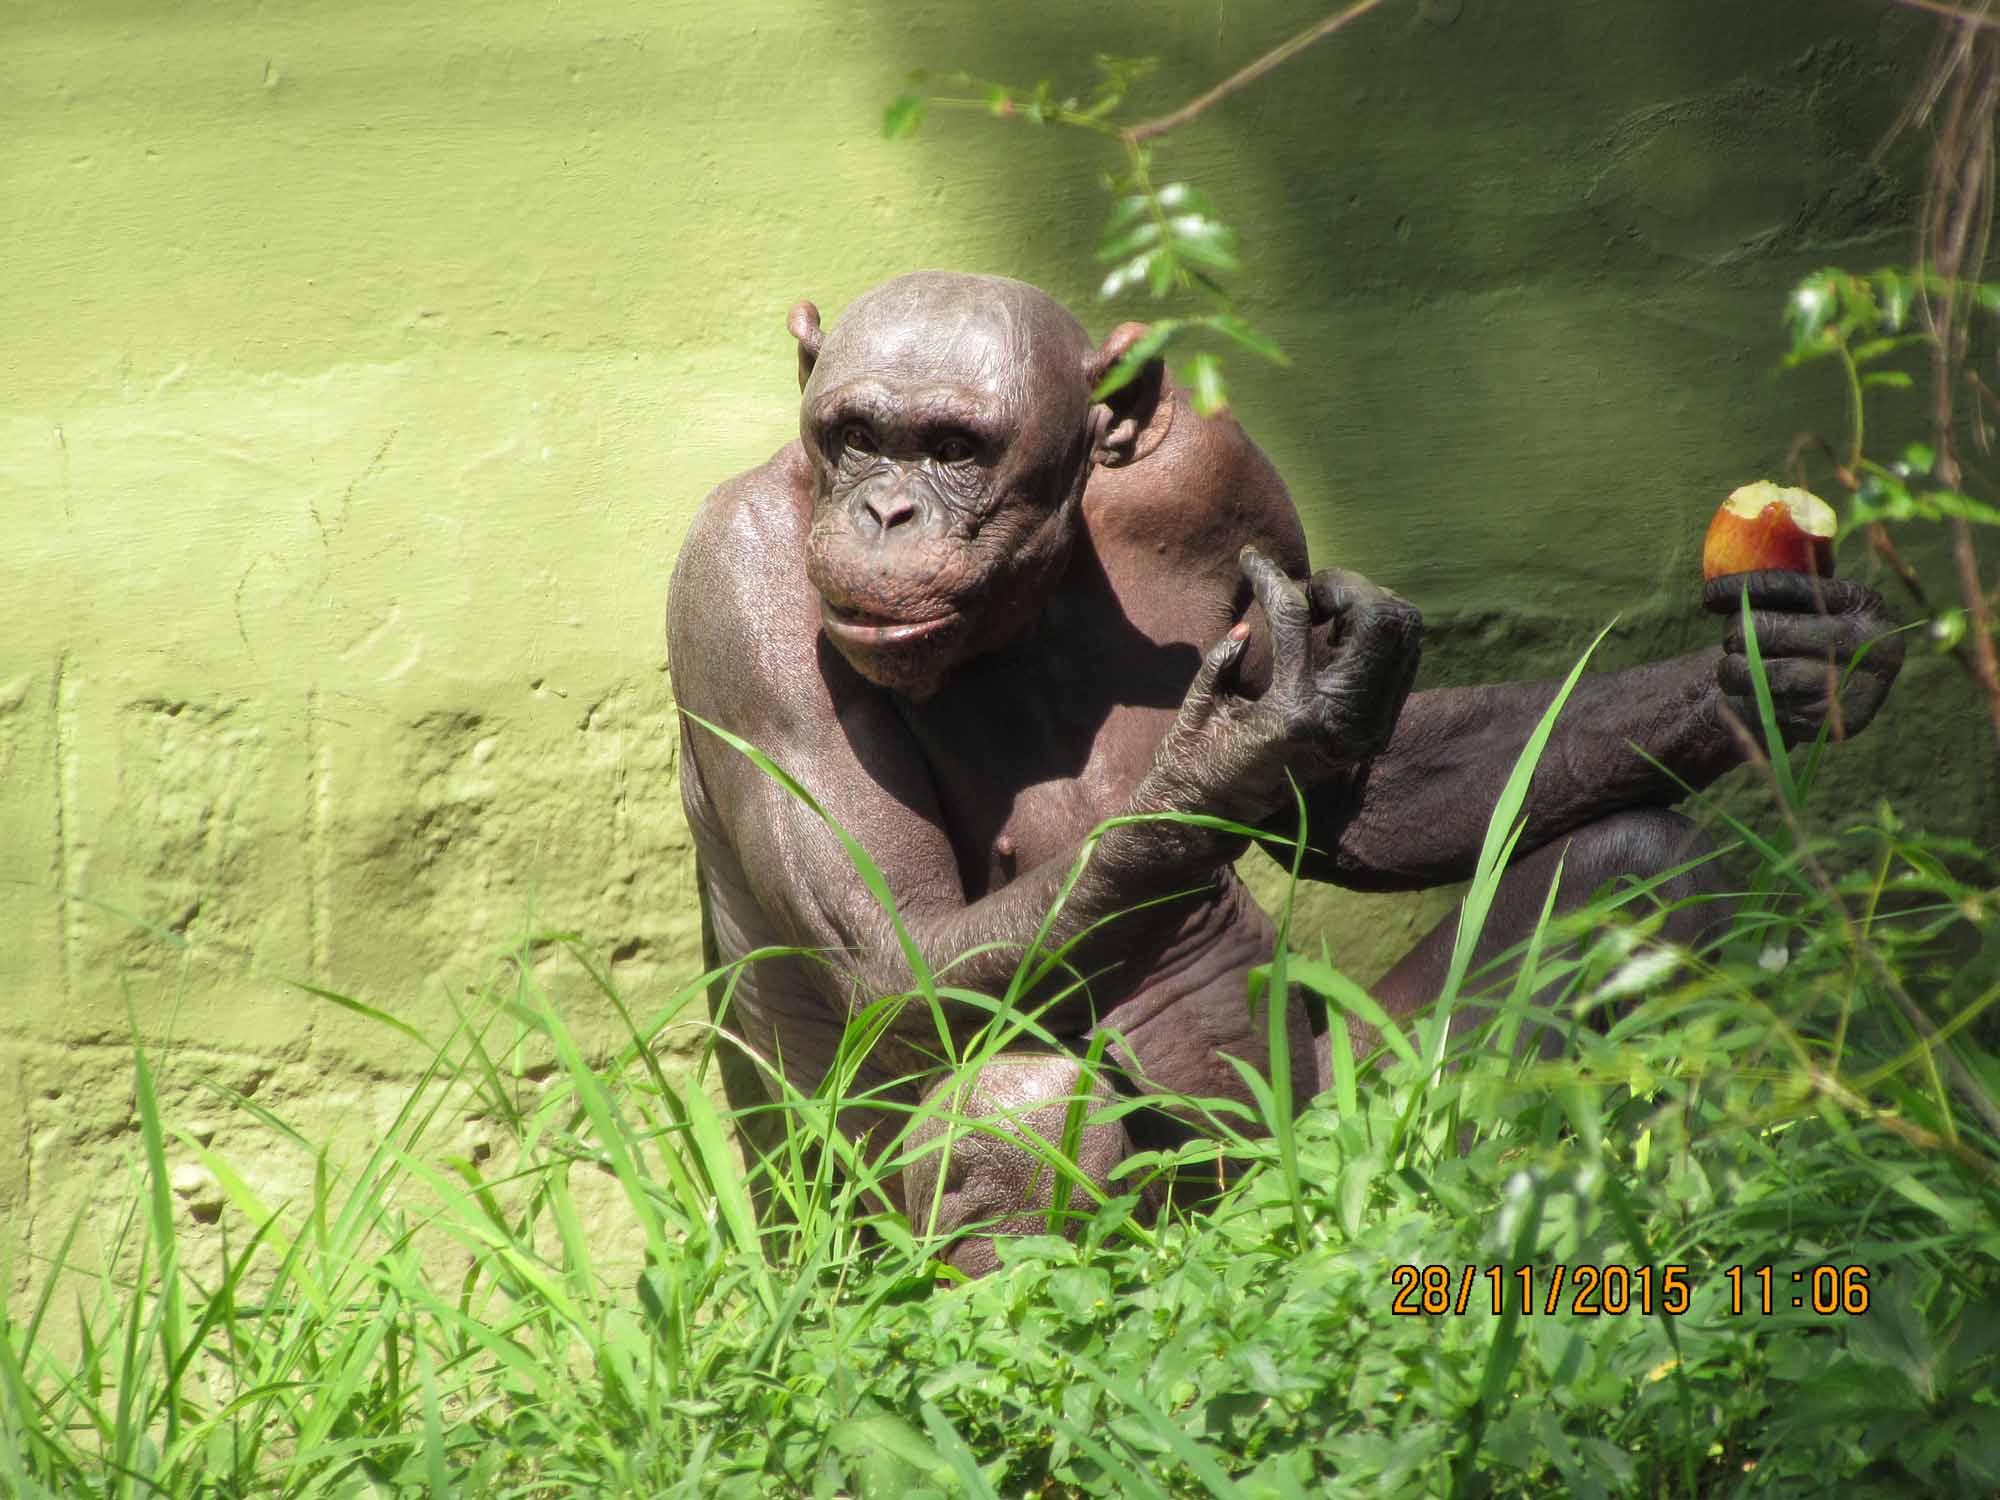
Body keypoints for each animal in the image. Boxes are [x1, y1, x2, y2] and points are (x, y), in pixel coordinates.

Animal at [668, 274, 1904, 1280]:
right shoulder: (745, 596)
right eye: (856, 435)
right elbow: (894, 958)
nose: (885, 509)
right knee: (1021, 1092)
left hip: (1327, 1112)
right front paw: (1243, 743)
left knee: (1635, 862)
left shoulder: (1226, 476)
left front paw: (1768, 667)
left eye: (955, 448)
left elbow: (1358, 802)